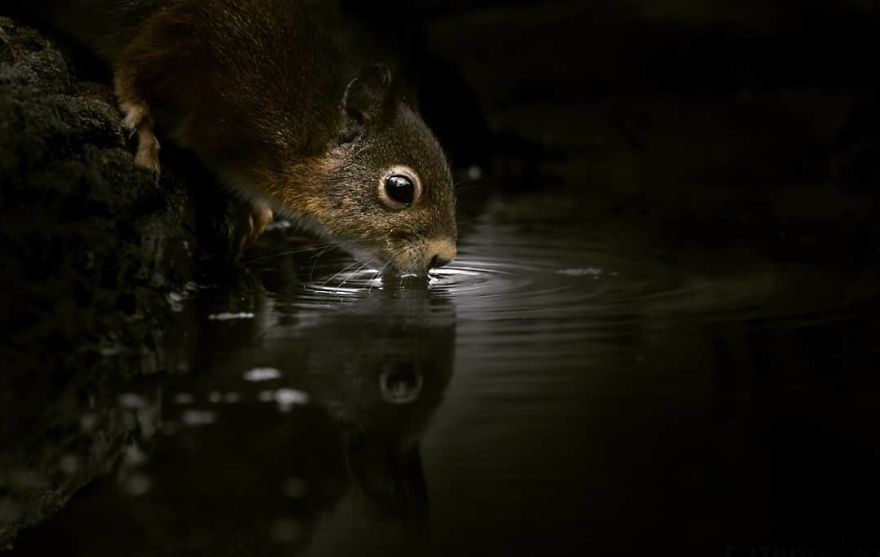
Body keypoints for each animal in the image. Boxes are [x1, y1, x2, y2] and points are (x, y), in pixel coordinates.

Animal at [14, 0, 458, 274]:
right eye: (400, 189)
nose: (444, 257)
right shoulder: (185, 35)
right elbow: (134, 72)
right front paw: (144, 129)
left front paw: (252, 210)